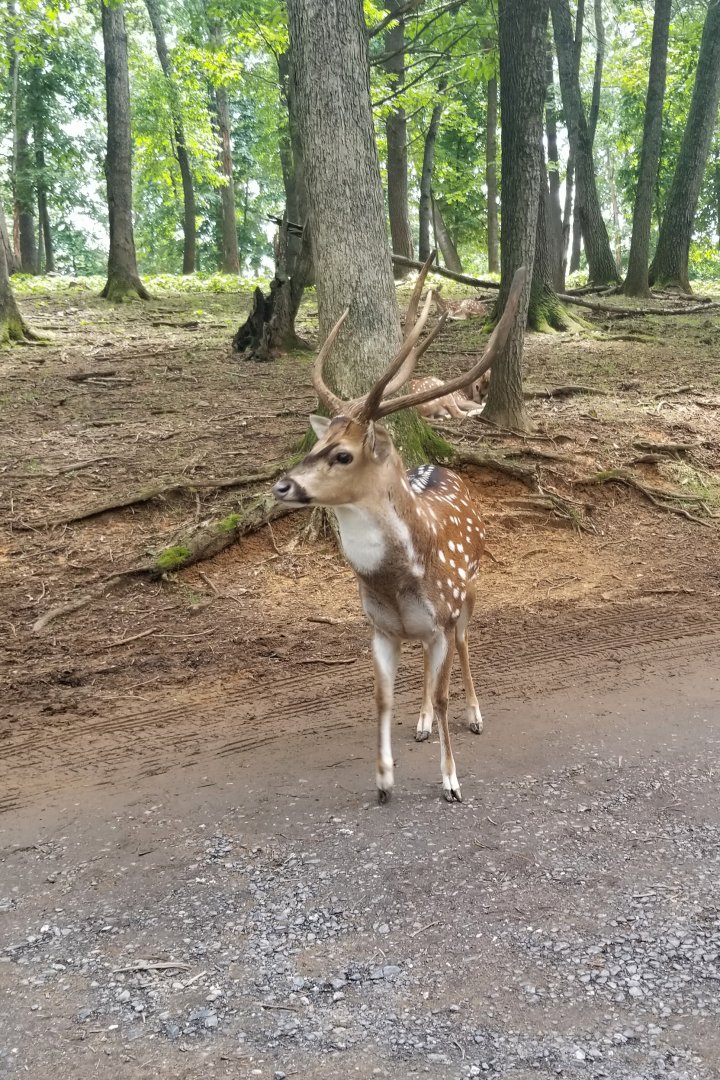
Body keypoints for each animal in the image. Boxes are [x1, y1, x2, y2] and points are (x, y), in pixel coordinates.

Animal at [273, 263, 525, 804]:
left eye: (343, 454)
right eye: (316, 443)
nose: (283, 485)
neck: (393, 581)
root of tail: (441, 465)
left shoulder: (444, 615)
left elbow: (445, 693)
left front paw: (451, 781)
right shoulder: (380, 629)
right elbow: (381, 698)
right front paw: (384, 779)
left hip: (469, 592)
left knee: (466, 648)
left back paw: (475, 714)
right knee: (425, 670)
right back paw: (423, 722)